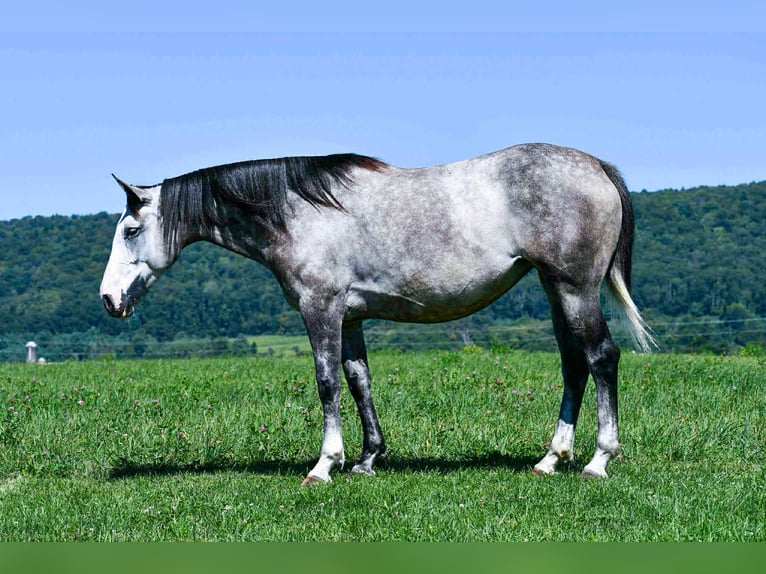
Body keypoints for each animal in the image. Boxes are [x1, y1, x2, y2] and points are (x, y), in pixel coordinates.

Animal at [100, 143, 655, 483]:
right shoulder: (349, 318)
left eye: (130, 230)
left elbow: (327, 382)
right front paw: (368, 458)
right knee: (574, 365)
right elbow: (358, 379)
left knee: (602, 358)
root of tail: (597, 167)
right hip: (555, 290)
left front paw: (325, 464)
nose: (109, 300)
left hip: (575, 290)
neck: (300, 209)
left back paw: (599, 460)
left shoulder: (320, 309)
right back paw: (551, 459)